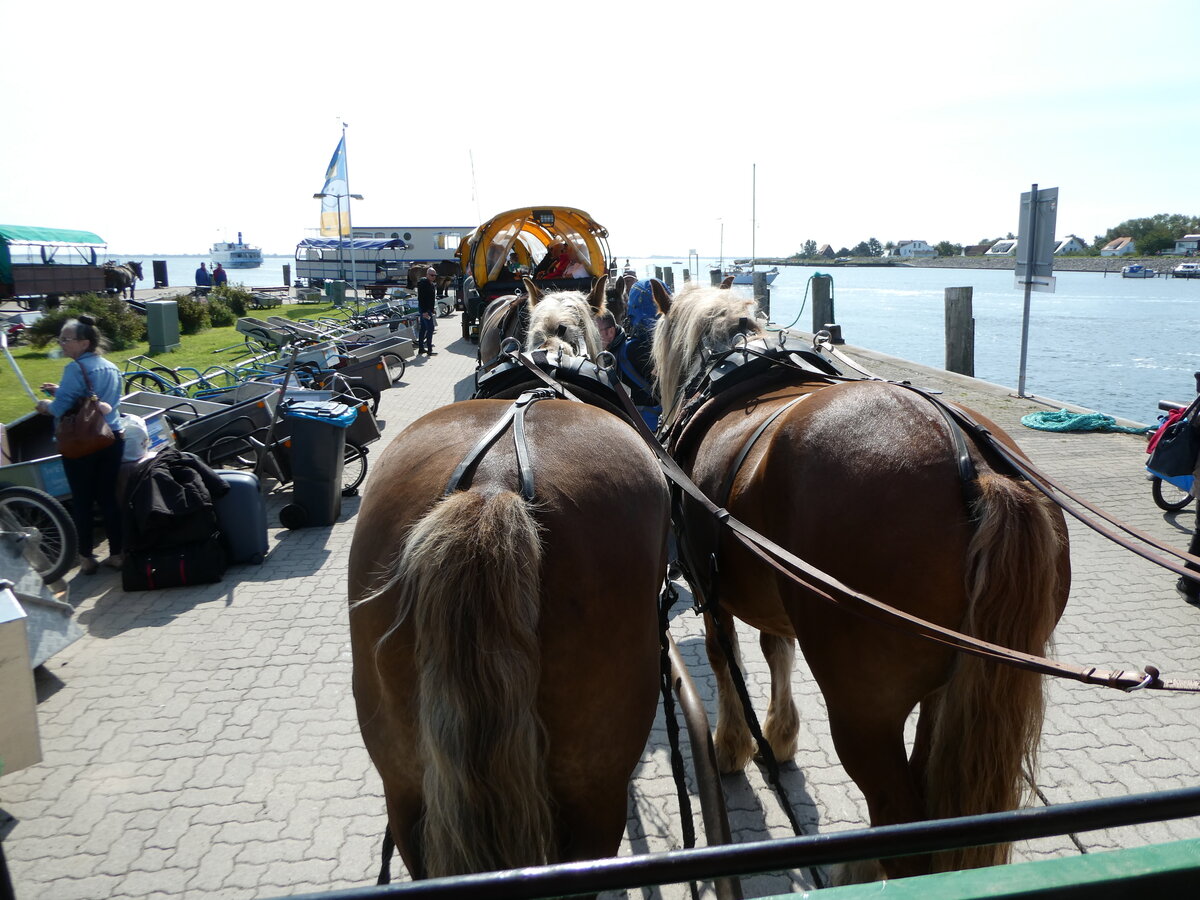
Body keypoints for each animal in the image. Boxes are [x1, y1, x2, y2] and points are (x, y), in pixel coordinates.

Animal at [650, 284, 1071, 882]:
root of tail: (977, 471)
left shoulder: (712, 591)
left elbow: (722, 654)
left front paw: (733, 745)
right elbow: (776, 649)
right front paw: (779, 736)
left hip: (864, 712)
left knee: (900, 827)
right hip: (950, 691)